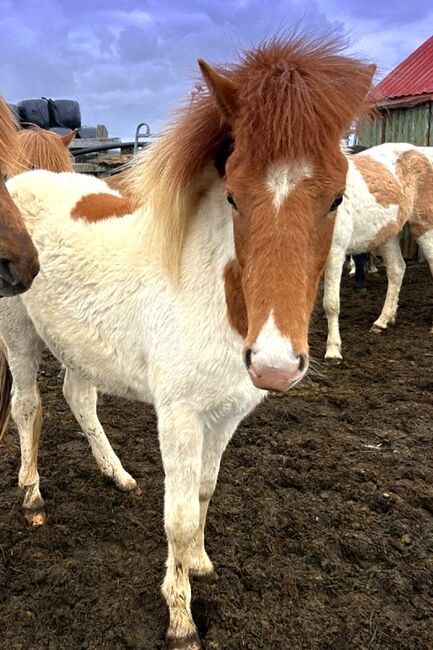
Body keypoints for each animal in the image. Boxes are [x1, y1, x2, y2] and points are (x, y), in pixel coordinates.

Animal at [0, 34, 375, 649]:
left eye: (337, 198)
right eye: (235, 197)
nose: (274, 365)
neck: (216, 296)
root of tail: (25, 178)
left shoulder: (225, 416)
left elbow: (203, 490)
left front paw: (199, 562)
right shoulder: (178, 417)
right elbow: (176, 515)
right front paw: (180, 617)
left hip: (81, 344)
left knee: (79, 397)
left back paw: (118, 474)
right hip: (20, 334)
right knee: (29, 406)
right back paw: (32, 497)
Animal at [323, 142, 433, 360]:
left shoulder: (334, 252)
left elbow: (330, 303)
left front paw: (333, 350)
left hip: (425, 227)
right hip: (389, 236)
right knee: (397, 270)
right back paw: (382, 321)